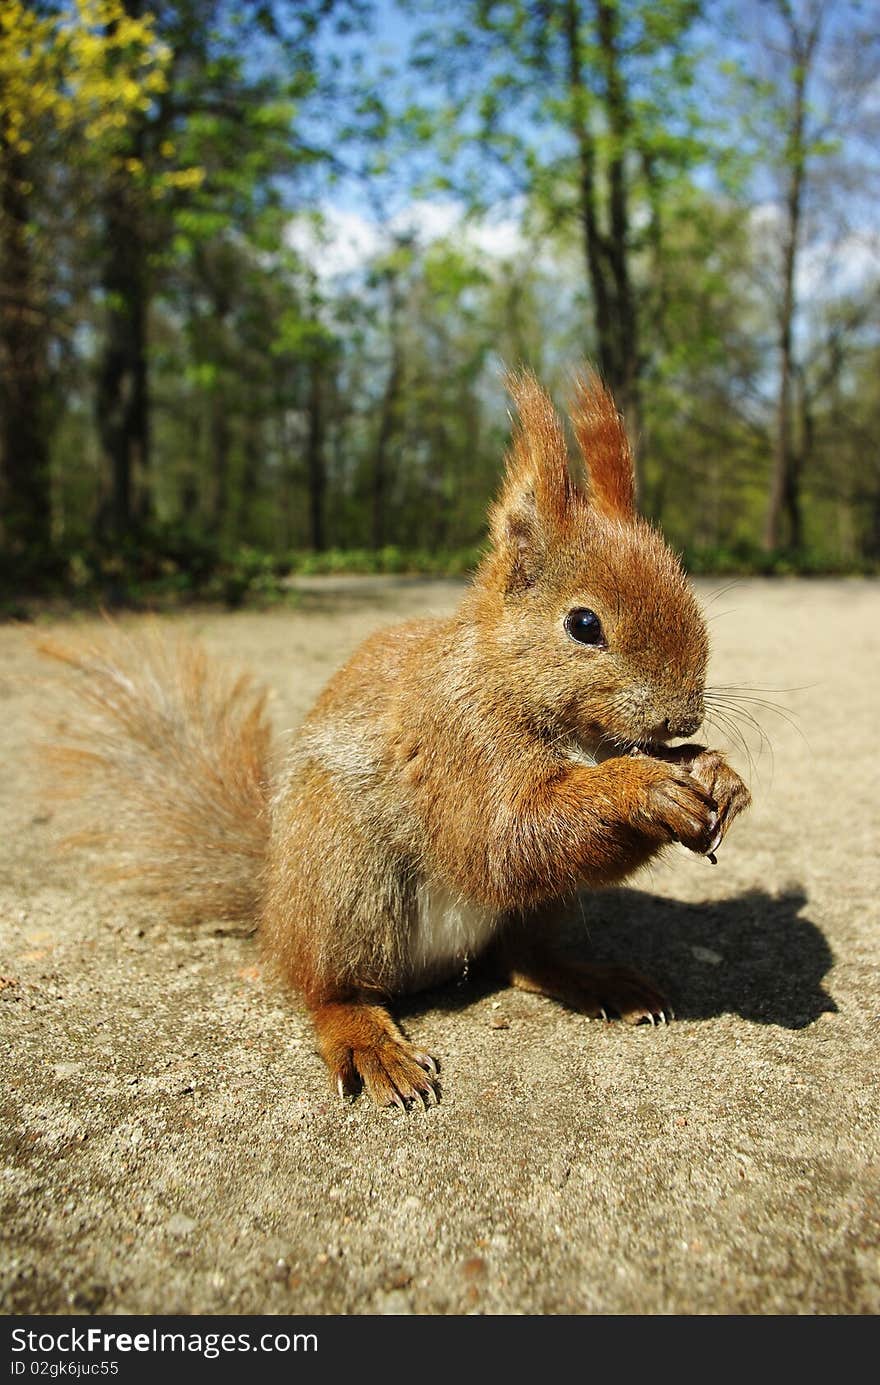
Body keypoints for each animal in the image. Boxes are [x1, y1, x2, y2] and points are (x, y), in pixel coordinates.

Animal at [42, 373, 748, 1108]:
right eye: (585, 625)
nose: (683, 719)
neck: (504, 680)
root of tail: (274, 905)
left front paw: (715, 773)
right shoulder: (454, 739)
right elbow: (501, 838)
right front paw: (642, 786)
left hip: (529, 909)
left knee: (522, 959)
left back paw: (592, 979)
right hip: (341, 876)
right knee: (328, 988)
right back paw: (369, 1041)